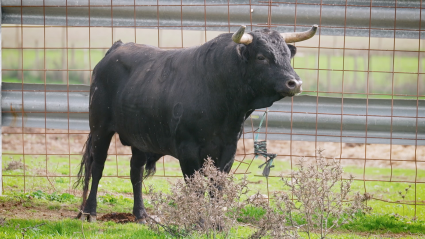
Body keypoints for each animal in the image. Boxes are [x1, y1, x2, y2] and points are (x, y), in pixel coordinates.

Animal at [75, 25, 314, 222]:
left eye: (287, 55)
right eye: (262, 56)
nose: (295, 83)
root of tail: (117, 47)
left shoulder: (228, 149)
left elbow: (216, 188)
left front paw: (216, 223)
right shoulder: (188, 151)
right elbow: (196, 188)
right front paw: (199, 222)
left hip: (140, 137)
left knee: (136, 171)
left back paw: (141, 214)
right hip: (100, 129)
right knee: (97, 167)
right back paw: (90, 212)